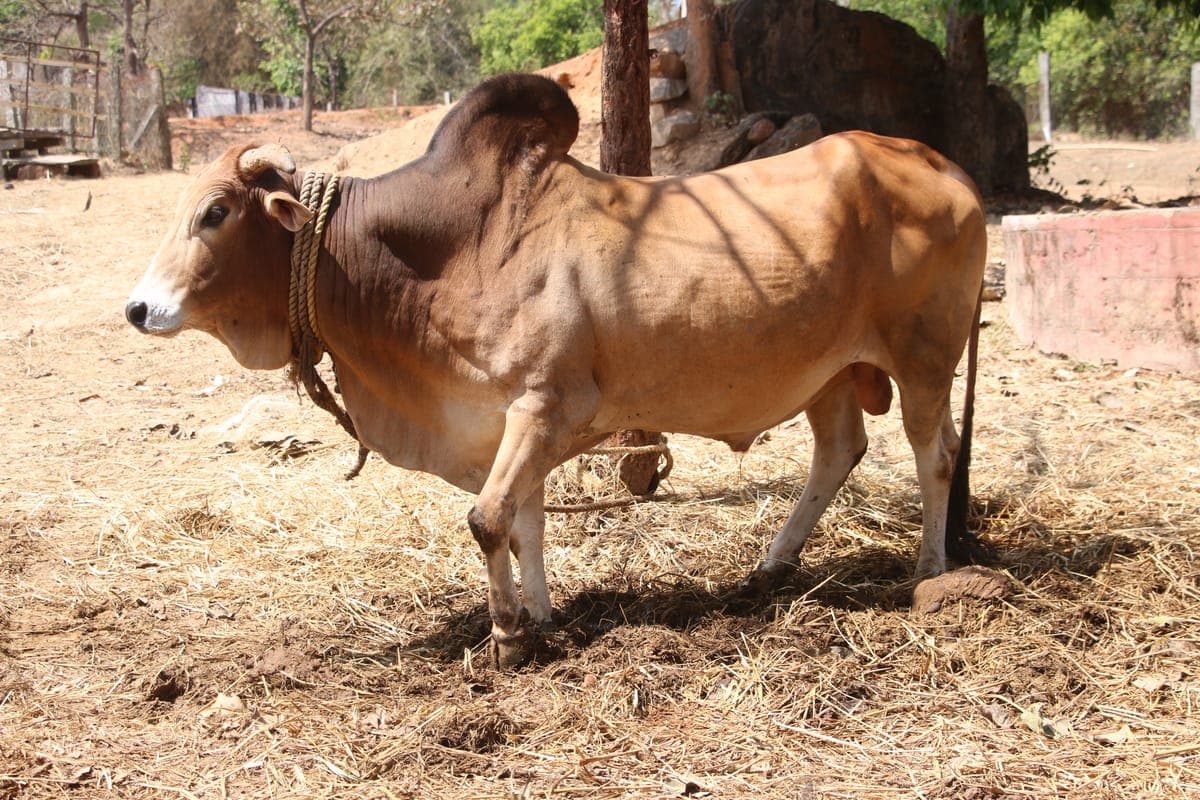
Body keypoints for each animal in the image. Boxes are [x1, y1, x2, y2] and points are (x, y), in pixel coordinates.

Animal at [126, 73, 986, 667]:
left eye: (215, 213)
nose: (138, 309)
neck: (447, 255)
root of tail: (944, 166)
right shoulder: (512, 417)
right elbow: (524, 522)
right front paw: (542, 616)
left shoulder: (543, 405)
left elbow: (488, 519)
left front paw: (509, 634)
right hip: (830, 374)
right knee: (839, 452)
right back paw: (769, 568)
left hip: (924, 361)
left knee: (935, 453)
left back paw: (928, 570)